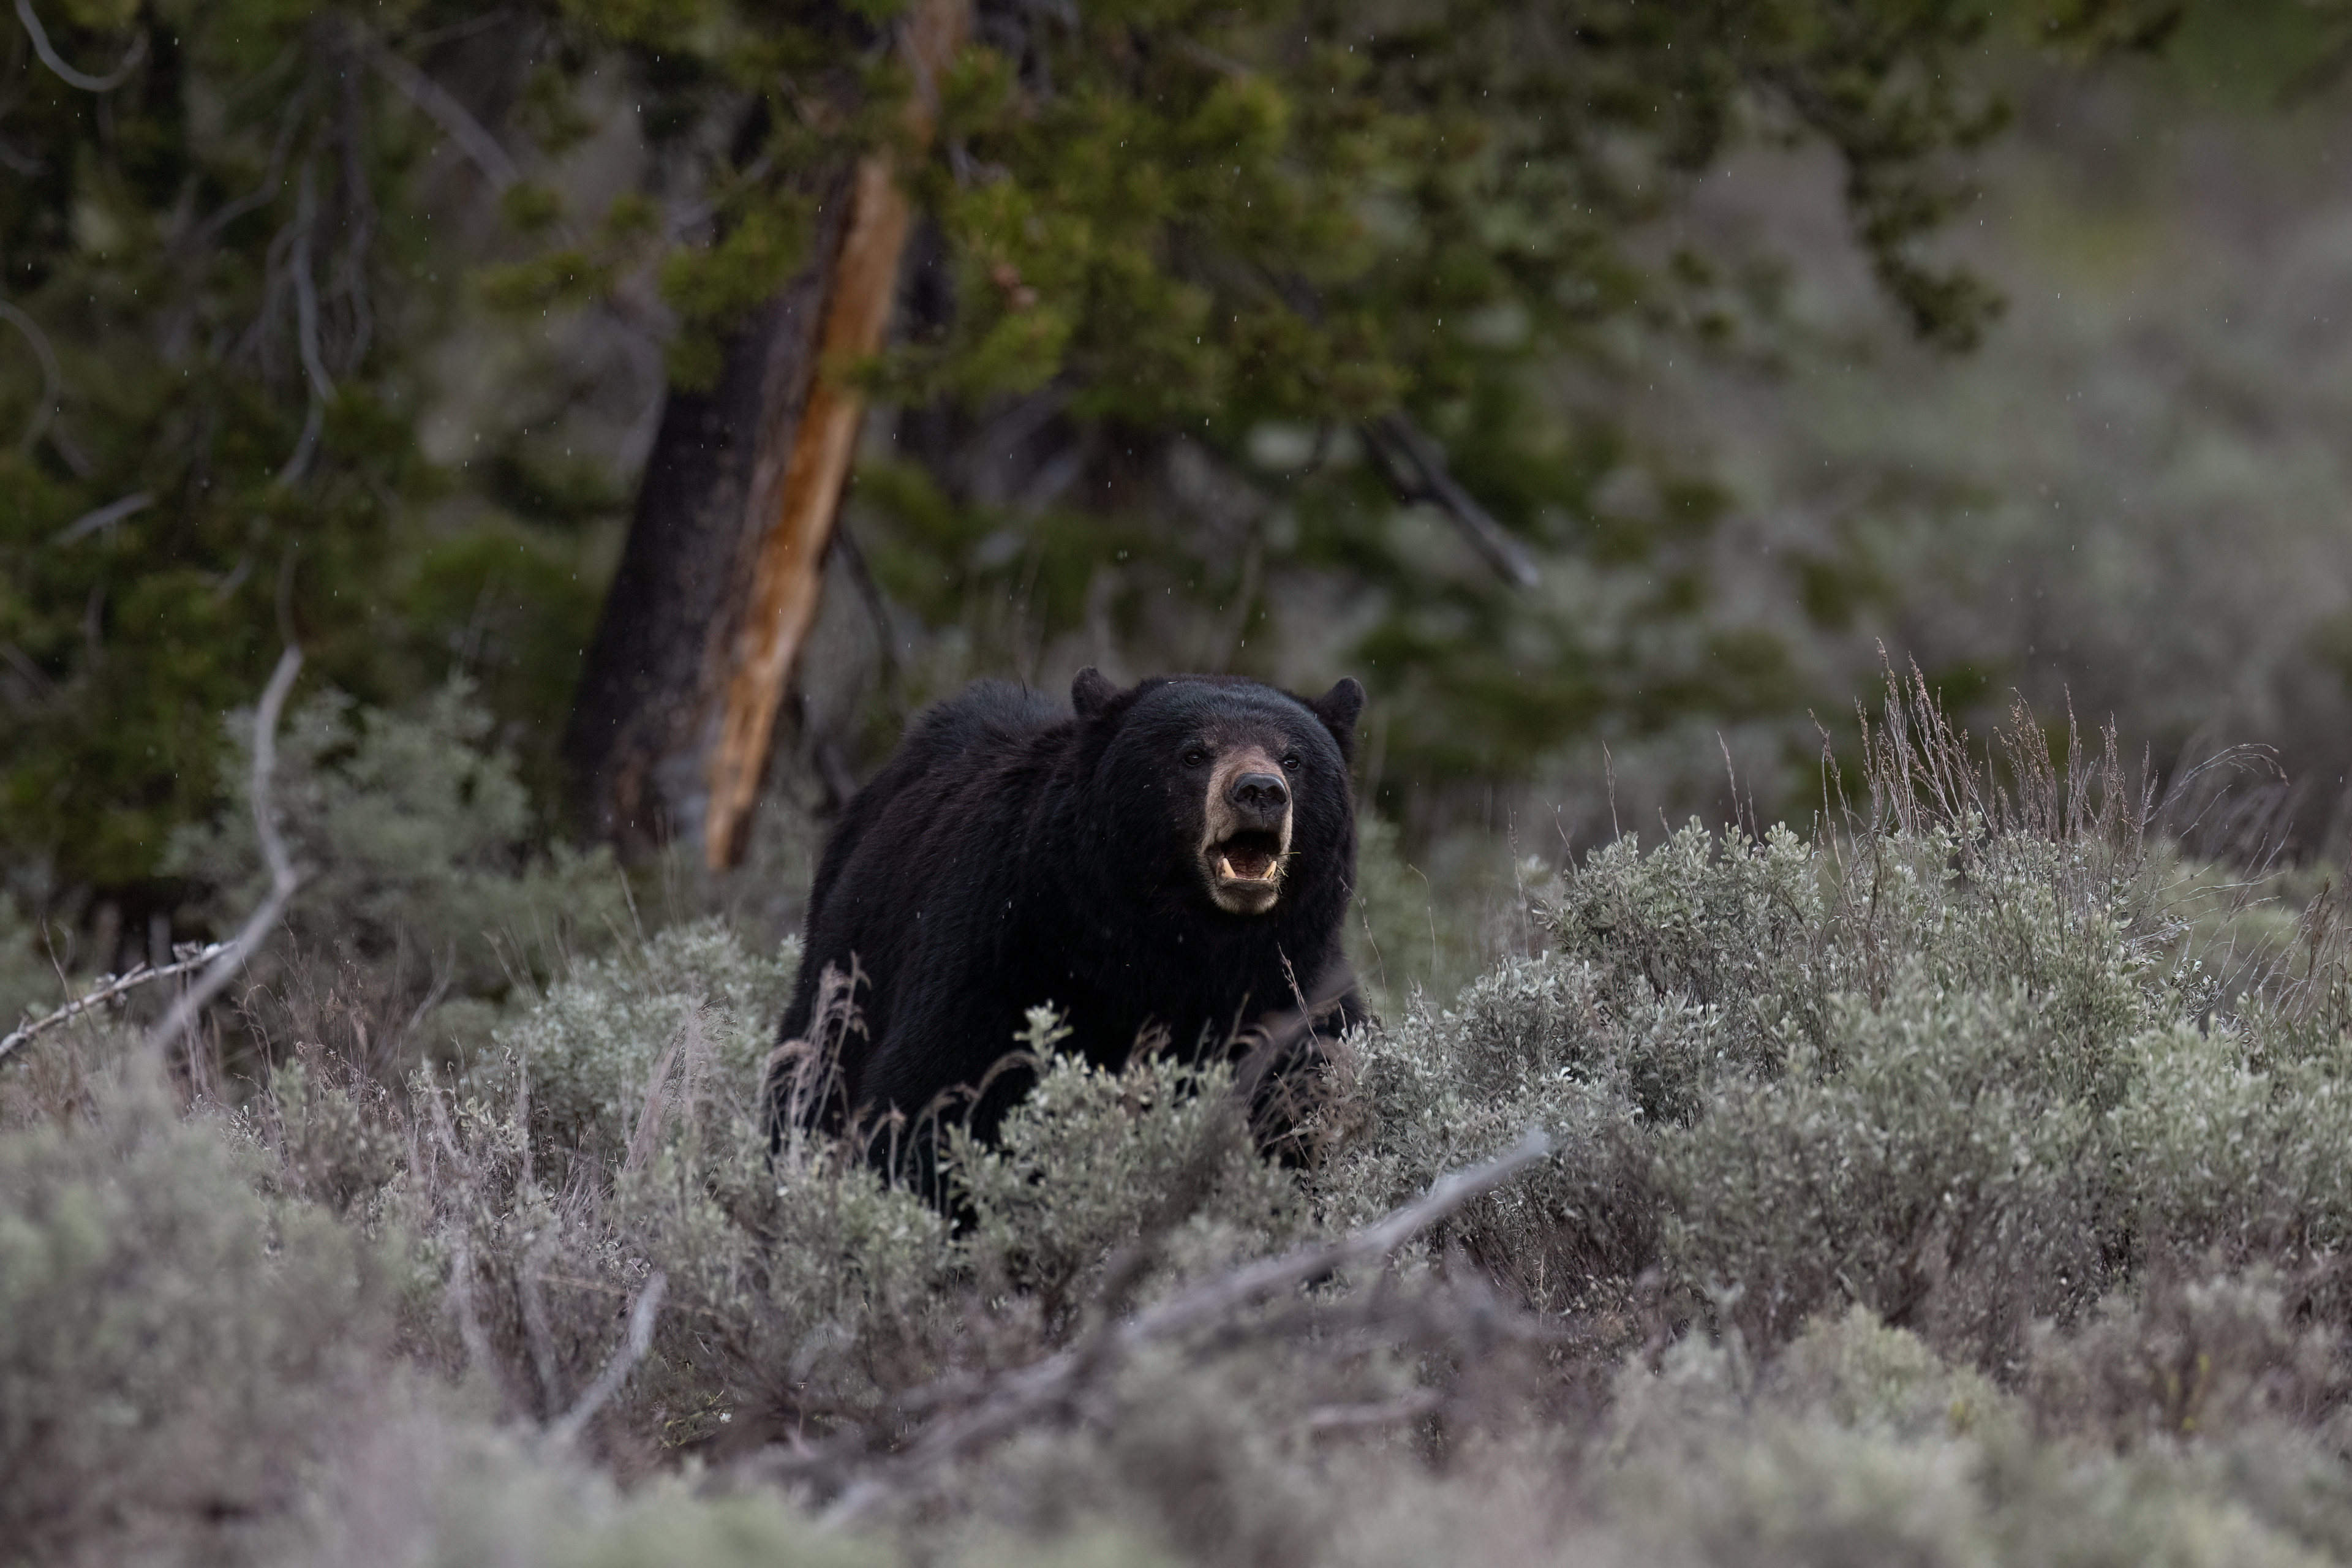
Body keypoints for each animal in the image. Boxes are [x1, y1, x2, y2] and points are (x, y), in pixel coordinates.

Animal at [767, 667, 1367, 1191]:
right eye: (1194, 753)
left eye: (1294, 758)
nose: (1261, 790)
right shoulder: (1004, 955)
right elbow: (932, 1101)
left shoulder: (1294, 993)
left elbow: (1311, 1101)